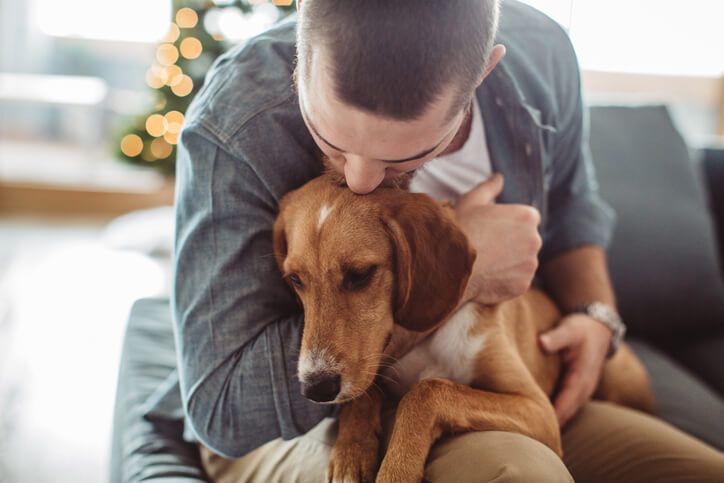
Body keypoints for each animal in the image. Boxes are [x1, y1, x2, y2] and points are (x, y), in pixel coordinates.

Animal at [272, 176, 656, 482]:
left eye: (361, 274)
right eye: (295, 279)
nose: (315, 388)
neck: (428, 340)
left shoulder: (539, 409)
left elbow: (428, 390)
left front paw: (397, 470)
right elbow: (366, 392)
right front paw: (351, 452)